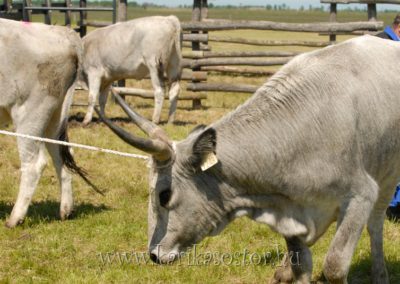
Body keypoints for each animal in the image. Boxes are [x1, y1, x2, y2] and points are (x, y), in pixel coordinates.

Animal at [0, 19, 83, 229]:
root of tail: (60, 32)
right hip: (55, 116)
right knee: (62, 156)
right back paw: (65, 211)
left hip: (29, 114)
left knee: (33, 164)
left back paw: (14, 218)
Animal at [98, 36, 398, 284]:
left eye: (164, 195)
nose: (153, 254)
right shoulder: (291, 211)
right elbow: (301, 265)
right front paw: (287, 270)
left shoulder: (360, 194)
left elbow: (335, 265)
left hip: (387, 179)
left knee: (375, 224)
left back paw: (380, 274)